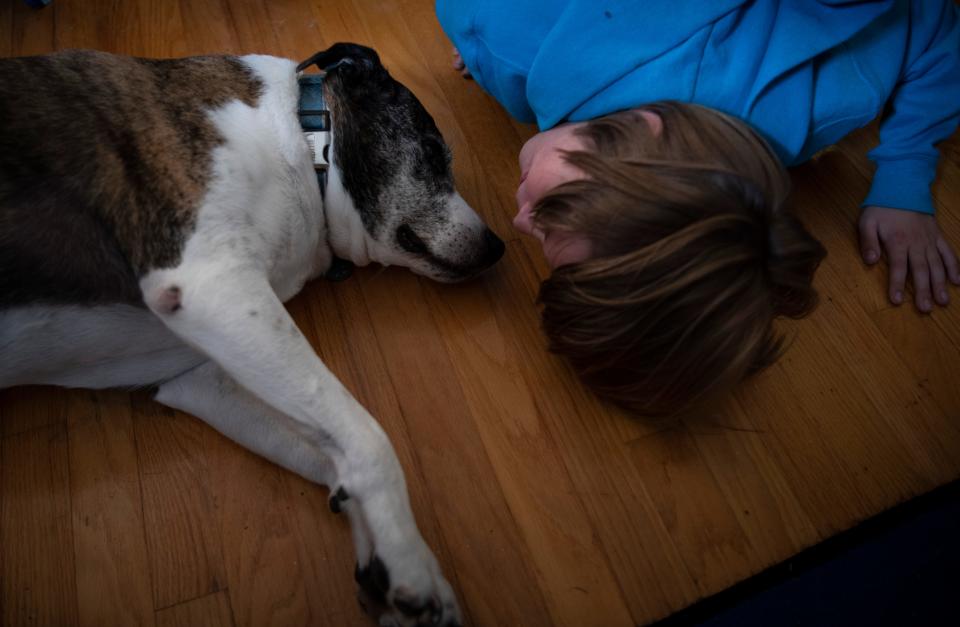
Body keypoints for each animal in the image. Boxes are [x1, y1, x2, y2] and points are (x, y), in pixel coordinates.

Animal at [3, 41, 502, 624]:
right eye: (432, 151)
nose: (499, 248)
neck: (305, 146)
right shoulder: (215, 284)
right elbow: (367, 435)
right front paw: (409, 565)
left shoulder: (204, 373)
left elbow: (330, 447)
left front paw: (388, 558)